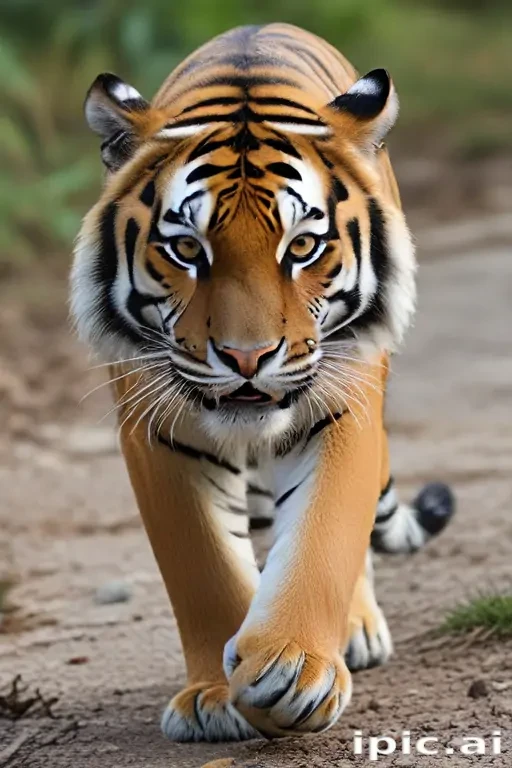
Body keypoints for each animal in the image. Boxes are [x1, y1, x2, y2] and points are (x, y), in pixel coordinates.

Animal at [70, 24, 455, 742]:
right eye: (186, 250)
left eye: (301, 247)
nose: (246, 358)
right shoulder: (154, 430)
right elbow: (203, 565)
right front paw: (215, 695)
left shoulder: (343, 405)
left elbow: (324, 536)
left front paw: (293, 670)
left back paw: (355, 631)